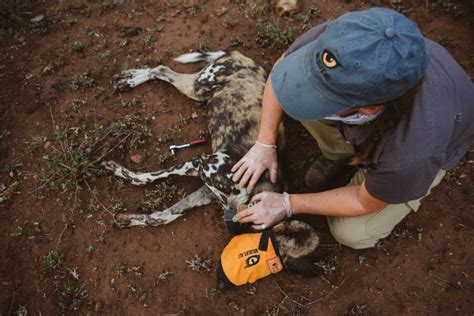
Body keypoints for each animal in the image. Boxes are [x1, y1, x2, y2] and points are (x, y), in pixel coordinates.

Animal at [101, 50, 320, 276]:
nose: (231, 227)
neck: (250, 192)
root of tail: (244, 58)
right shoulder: (200, 163)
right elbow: (147, 178)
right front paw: (119, 171)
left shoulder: (206, 190)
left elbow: (164, 216)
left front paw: (129, 219)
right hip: (199, 87)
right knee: (162, 69)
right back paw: (129, 80)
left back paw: (128, 79)